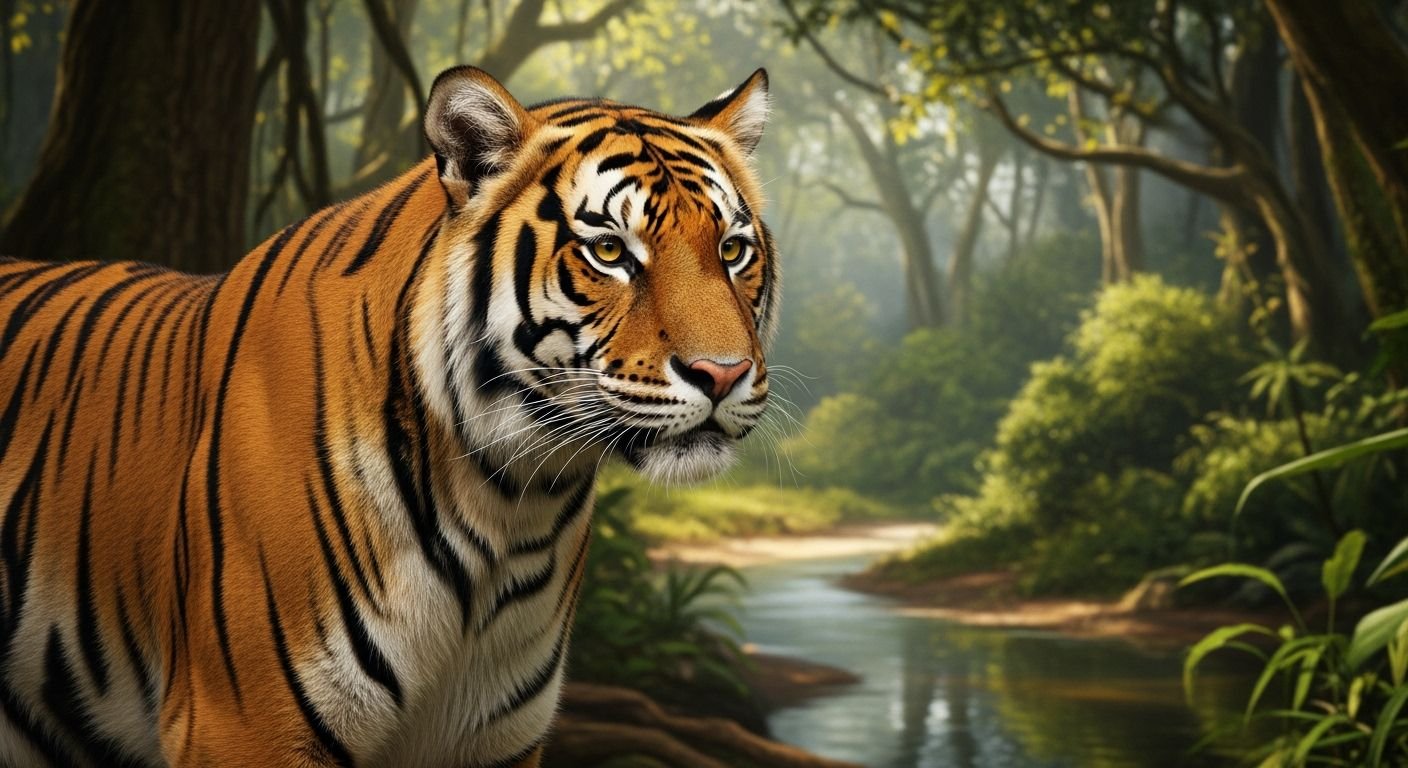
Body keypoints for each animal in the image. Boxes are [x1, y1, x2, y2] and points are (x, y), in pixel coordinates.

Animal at [0, 65, 776, 767]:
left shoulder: (495, 740)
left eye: (732, 250)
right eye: (610, 251)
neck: (510, 506)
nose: (722, 373)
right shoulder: (243, 724)